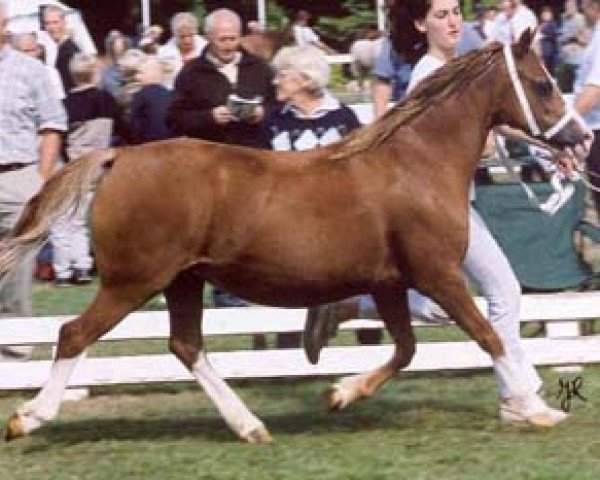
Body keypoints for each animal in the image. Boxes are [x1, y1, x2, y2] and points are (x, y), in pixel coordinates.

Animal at [2, 34, 588, 442]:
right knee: (74, 335)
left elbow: (406, 348)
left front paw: (339, 394)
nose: (581, 138)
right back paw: (29, 418)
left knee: (186, 346)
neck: (417, 163)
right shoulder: (437, 275)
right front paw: (536, 409)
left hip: (183, 280)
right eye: (541, 84)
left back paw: (251, 425)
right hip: (132, 281)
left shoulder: (390, 283)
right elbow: (488, 337)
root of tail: (119, 155)